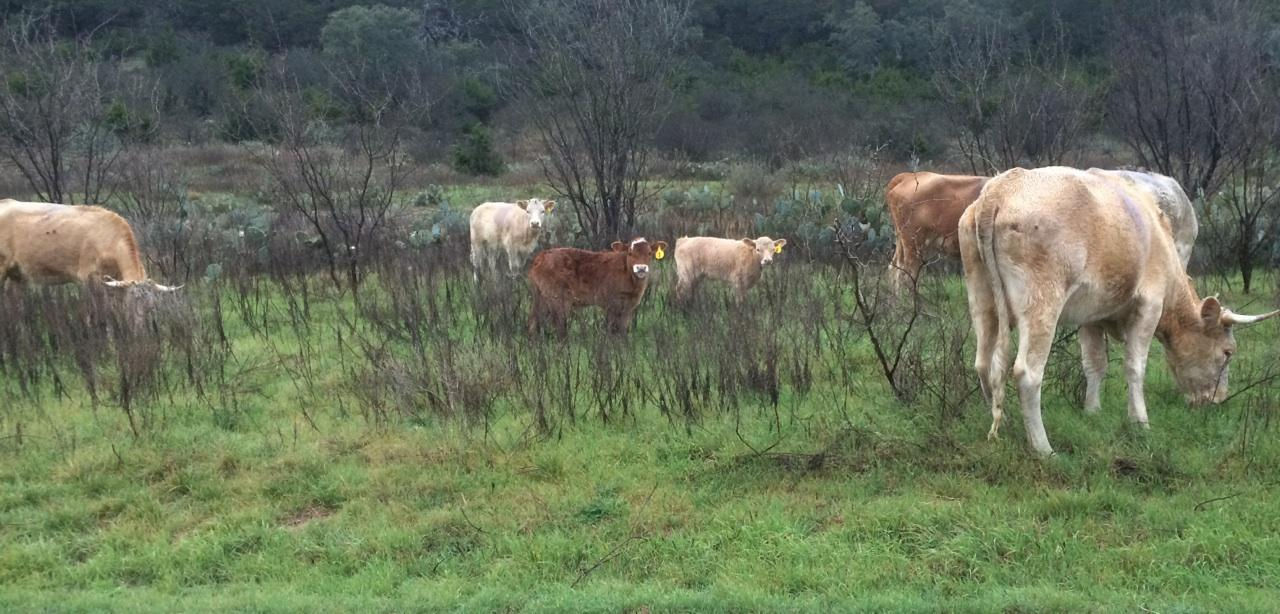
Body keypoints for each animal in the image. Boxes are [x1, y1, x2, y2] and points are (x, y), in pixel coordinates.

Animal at [528, 237, 668, 336]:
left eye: (649, 253)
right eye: (630, 253)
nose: (641, 268)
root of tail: (541, 255)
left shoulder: (628, 307)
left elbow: (622, 330)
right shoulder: (611, 304)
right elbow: (613, 329)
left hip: (541, 298)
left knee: (534, 322)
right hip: (558, 300)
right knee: (559, 327)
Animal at [958, 167, 1277, 456]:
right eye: (1227, 352)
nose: (1218, 400)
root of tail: (1001, 189)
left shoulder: (1091, 316)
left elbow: (1095, 364)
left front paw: (1092, 411)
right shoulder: (1149, 306)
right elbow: (1135, 366)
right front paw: (1140, 422)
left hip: (982, 299)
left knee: (985, 364)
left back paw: (1007, 422)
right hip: (1042, 303)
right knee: (1027, 373)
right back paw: (1043, 448)